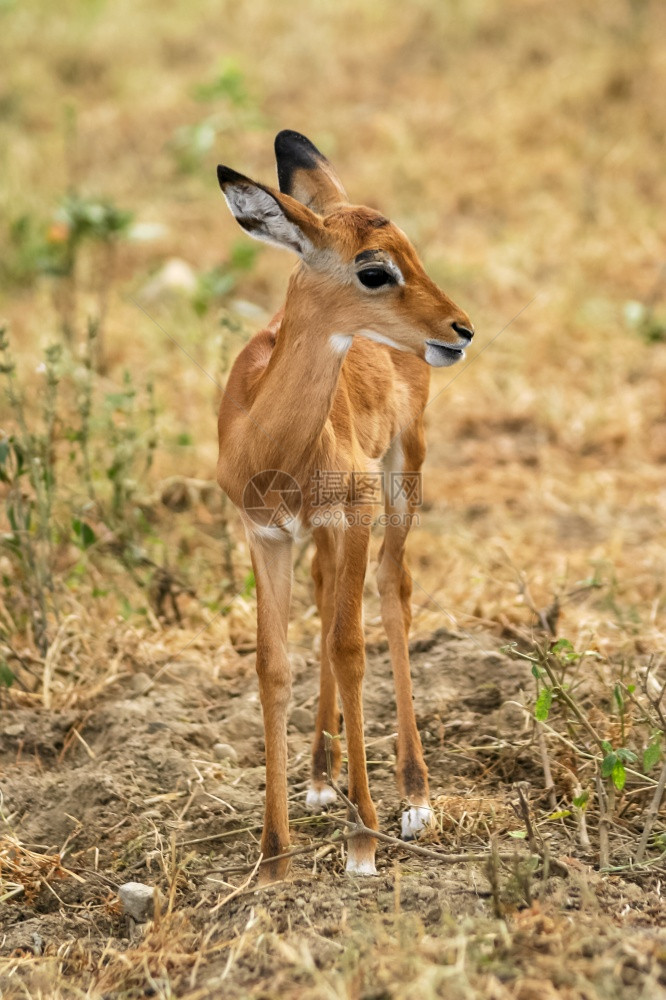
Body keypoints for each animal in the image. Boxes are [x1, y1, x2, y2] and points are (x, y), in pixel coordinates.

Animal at [214, 129, 472, 880]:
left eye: (410, 251)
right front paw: (274, 856)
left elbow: (351, 647)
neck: (269, 441)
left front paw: (364, 838)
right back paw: (321, 775)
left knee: (391, 589)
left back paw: (413, 797)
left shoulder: (353, 513)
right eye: (374, 270)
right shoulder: (264, 535)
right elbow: (274, 665)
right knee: (330, 591)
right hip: (326, 532)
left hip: (402, 473)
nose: (461, 329)